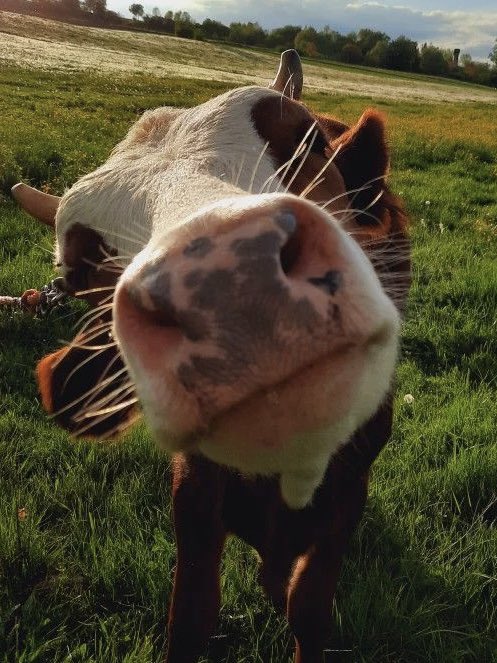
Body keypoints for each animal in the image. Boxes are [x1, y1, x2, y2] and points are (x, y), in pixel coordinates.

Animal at [13, 50, 410, 663]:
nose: (233, 289)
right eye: (82, 271)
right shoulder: (196, 485)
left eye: (307, 142)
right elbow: (192, 614)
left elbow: (309, 606)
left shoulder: (352, 482)